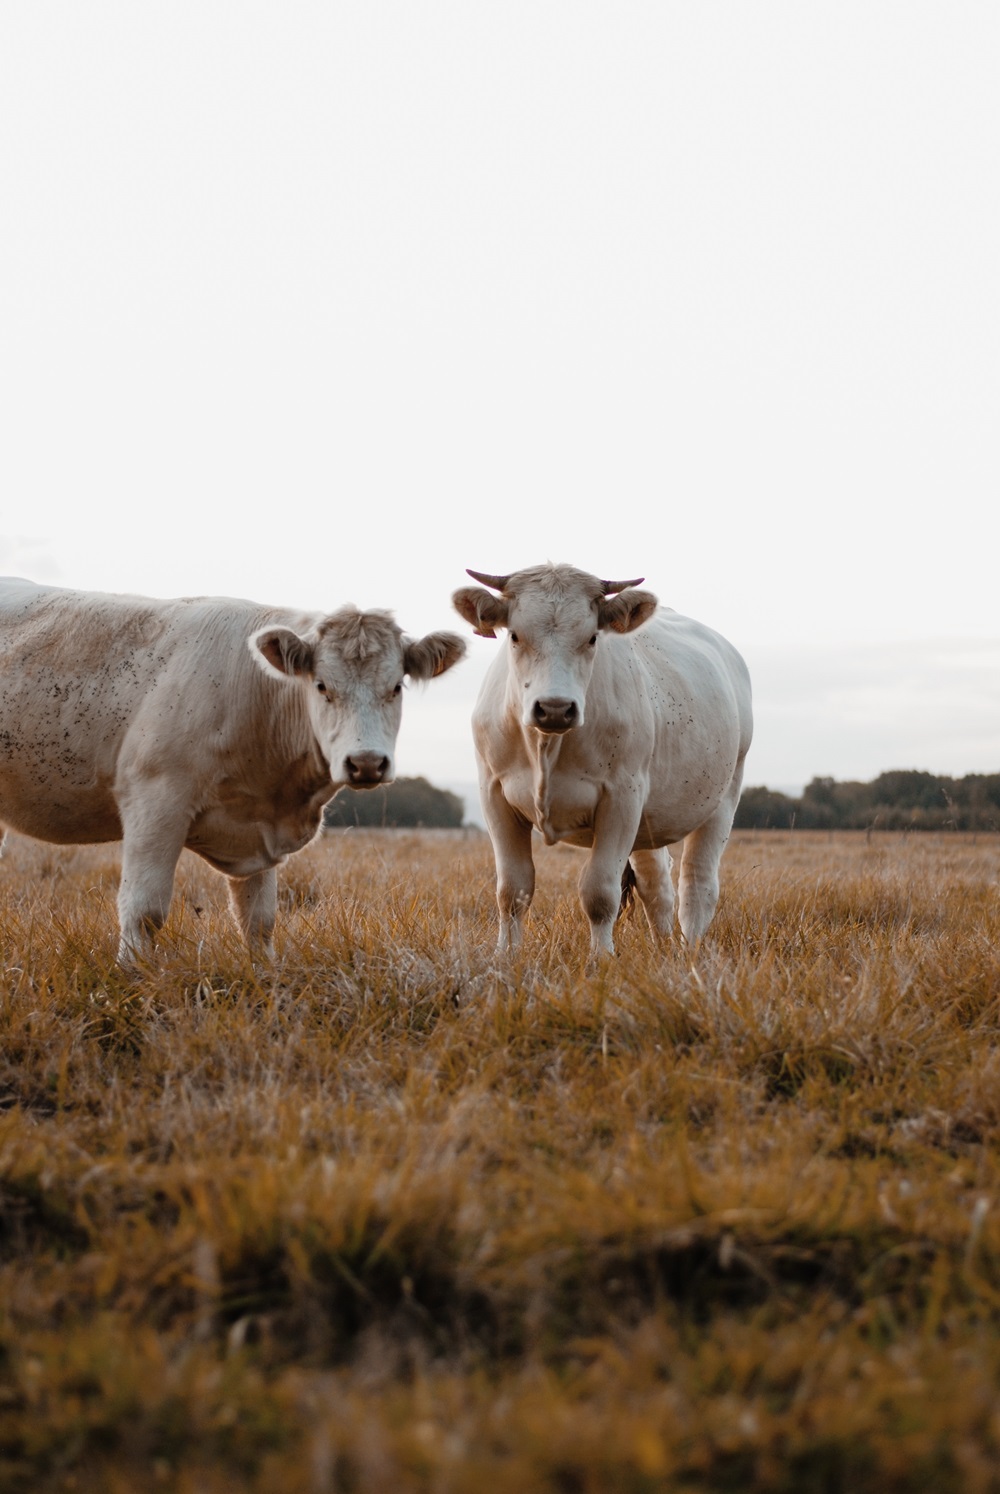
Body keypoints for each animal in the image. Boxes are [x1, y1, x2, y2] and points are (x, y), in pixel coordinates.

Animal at [0, 576, 466, 962]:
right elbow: (143, 910)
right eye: (321, 686)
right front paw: (131, 977)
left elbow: (258, 919)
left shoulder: (258, 828)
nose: (366, 762)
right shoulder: (154, 800)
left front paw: (263, 978)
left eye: (396, 686)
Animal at [451, 564, 747, 962]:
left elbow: (600, 892)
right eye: (514, 635)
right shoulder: (494, 795)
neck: (547, 745)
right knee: (657, 884)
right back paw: (663, 948)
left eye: (592, 638)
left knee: (698, 883)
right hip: (649, 824)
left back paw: (691, 950)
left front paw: (601, 958)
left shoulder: (621, 798)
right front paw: (506, 955)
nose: (555, 708)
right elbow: (513, 890)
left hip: (723, 799)